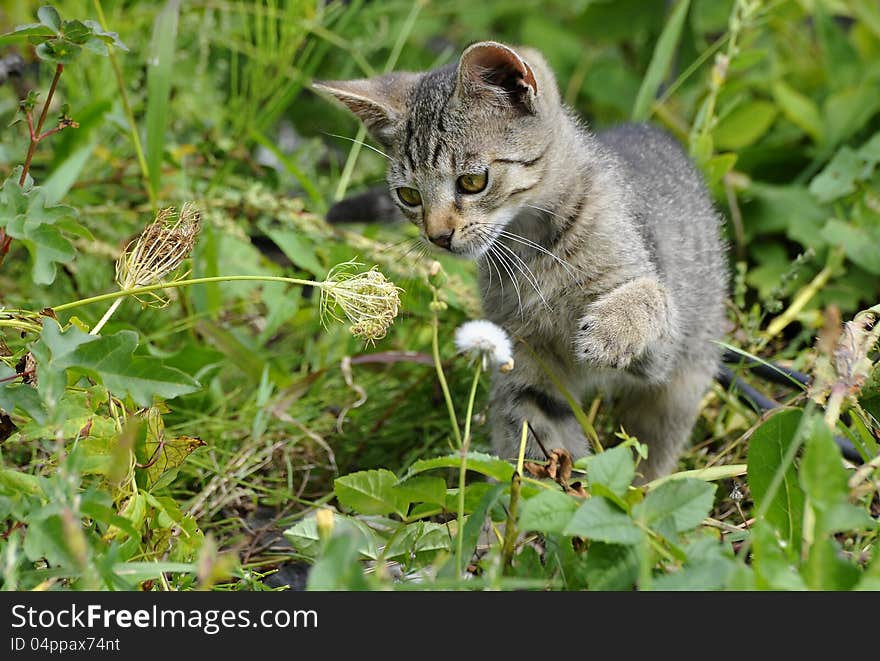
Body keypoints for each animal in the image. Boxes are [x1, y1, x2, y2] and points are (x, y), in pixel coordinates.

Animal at [312, 42, 724, 480]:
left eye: (472, 181)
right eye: (409, 195)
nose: (438, 235)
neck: (534, 249)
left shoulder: (661, 352)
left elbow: (651, 296)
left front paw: (612, 328)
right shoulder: (524, 358)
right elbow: (535, 432)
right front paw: (539, 488)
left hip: (685, 377)